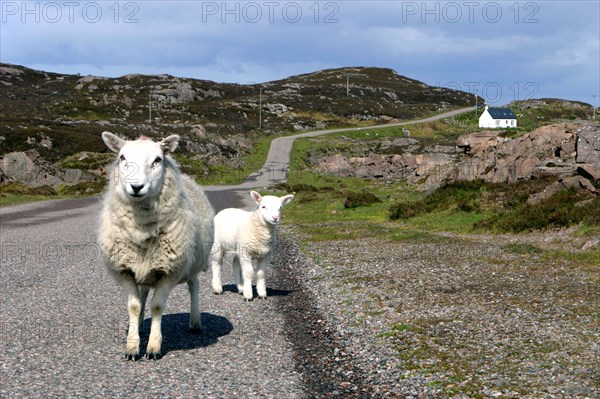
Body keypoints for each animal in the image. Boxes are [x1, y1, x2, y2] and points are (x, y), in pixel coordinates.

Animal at [100, 133, 216, 360]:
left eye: (157, 160)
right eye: (122, 157)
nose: (136, 187)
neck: (142, 229)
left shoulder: (169, 271)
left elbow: (157, 306)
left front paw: (153, 347)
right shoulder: (125, 269)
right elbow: (134, 306)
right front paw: (132, 346)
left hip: (192, 263)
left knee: (194, 285)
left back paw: (195, 321)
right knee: (144, 292)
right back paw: (139, 325)